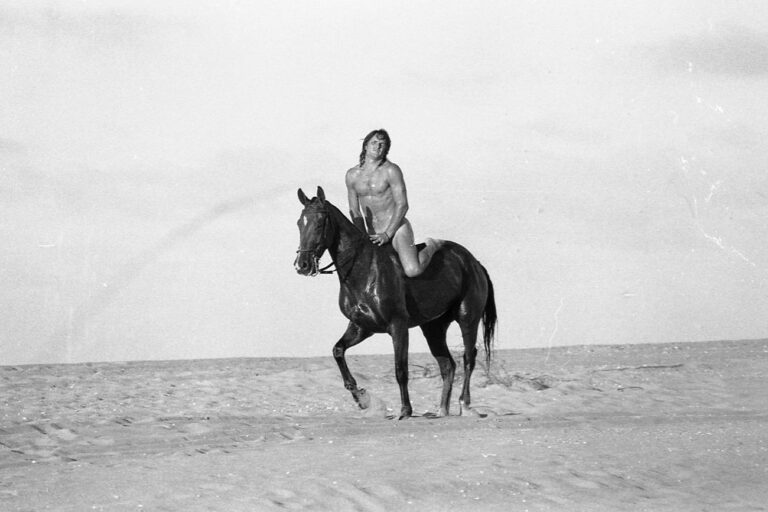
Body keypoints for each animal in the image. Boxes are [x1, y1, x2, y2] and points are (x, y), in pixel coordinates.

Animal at [294, 187, 497, 419]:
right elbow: (338, 351)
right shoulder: (362, 327)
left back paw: (465, 404)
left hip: (467, 318)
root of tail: (474, 262)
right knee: (447, 365)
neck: (364, 269)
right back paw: (441, 410)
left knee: (468, 358)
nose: (302, 265)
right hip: (433, 328)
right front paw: (361, 398)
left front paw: (405, 410)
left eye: (320, 223)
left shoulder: (397, 325)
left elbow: (400, 369)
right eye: (300, 223)